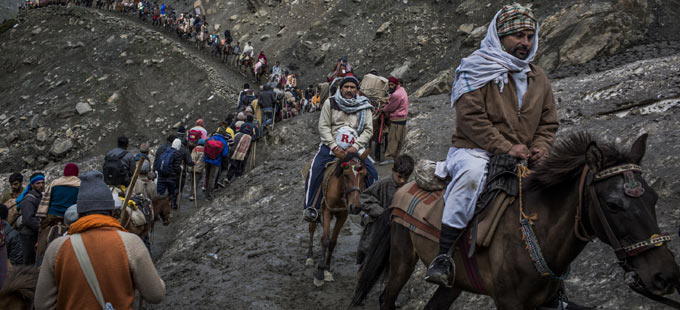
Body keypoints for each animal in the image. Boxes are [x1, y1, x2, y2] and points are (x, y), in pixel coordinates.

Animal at [308, 151, 370, 286]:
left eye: (365, 176)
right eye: (346, 175)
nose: (356, 207)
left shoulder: (343, 215)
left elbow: (332, 242)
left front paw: (326, 268)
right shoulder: (327, 211)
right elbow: (325, 239)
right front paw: (319, 274)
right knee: (311, 227)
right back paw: (309, 256)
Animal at [350, 133, 680, 310]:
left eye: (653, 199)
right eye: (612, 204)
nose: (665, 276)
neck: (537, 231)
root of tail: (402, 190)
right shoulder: (508, 302)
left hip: (454, 282)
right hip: (403, 259)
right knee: (386, 298)